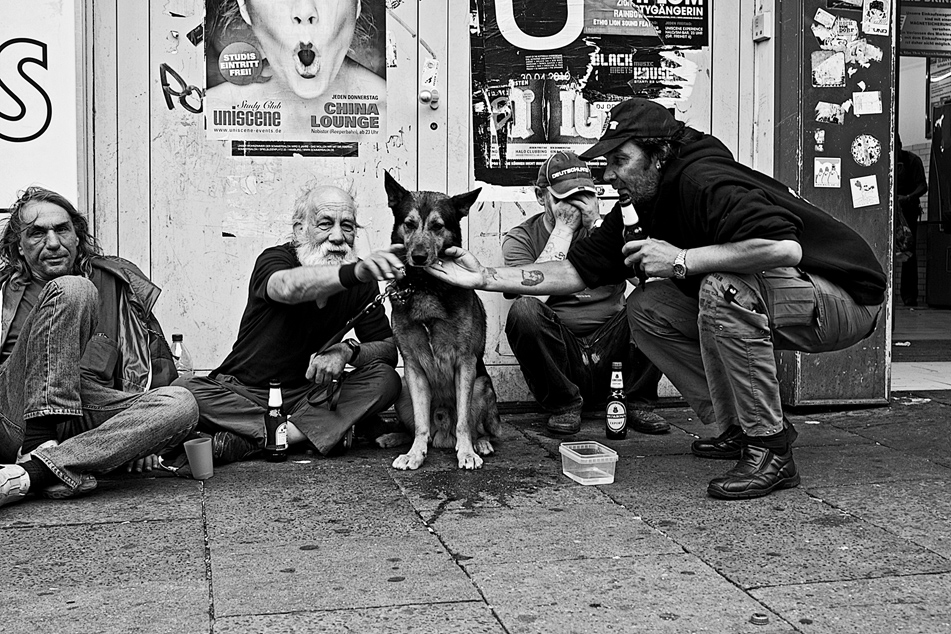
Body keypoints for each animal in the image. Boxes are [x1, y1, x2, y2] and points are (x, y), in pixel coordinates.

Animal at [386, 170, 506, 466]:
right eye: (409, 224)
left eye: (438, 226)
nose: (418, 257)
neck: (425, 286)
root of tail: (443, 434)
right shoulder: (413, 368)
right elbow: (420, 425)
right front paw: (415, 454)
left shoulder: (465, 363)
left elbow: (463, 421)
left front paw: (467, 453)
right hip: (402, 387)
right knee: (419, 429)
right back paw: (395, 438)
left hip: (482, 385)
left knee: (477, 428)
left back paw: (480, 444)